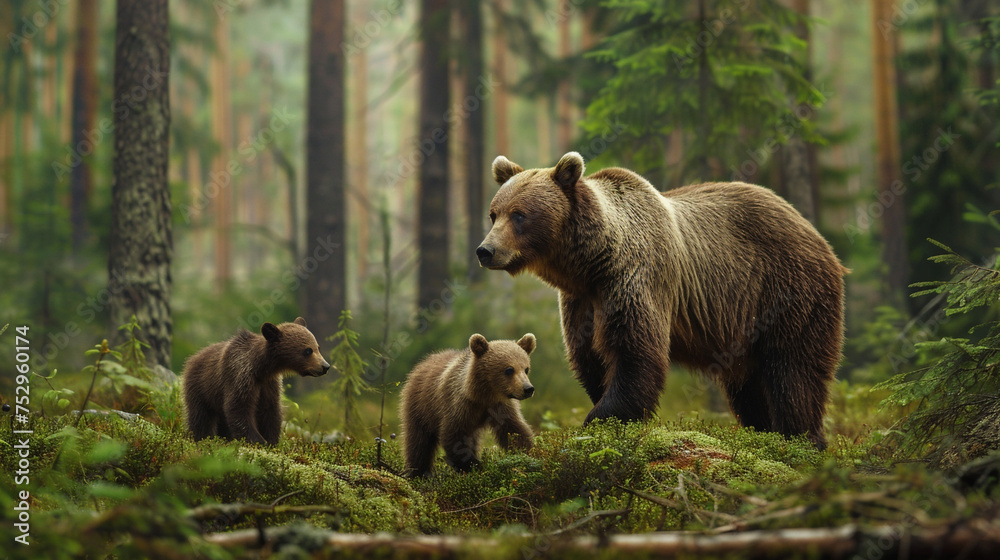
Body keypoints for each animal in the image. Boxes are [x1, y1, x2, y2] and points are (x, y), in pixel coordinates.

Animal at [182, 317, 330, 445]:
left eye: (318, 347)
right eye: (307, 350)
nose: (325, 366)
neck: (261, 369)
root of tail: (193, 357)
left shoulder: (269, 384)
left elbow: (271, 411)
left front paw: (271, 441)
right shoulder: (239, 376)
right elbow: (238, 409)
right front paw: (259, 441)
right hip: (200, 387)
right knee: (201, 417)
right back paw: (201, 437)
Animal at [400, 333, 536, 476]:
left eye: (526, 369)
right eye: (509, 369)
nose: (528, 389)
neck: (484, 396)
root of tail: (421, 364)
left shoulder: (502, 407)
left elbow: (514, 430)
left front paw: (527, 454)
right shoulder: (458, 405)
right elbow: (454, 437)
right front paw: (473, 465)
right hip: (420, 406)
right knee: (418, 441)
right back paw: (416, 472)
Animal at [476, 152, 847, 450]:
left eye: (520, 215)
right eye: (494, 214)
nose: (485, 250)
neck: (589, 264)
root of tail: (812, 230)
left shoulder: (634, 277)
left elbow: (635, 352)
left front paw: (599, 420)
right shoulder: (581, 300)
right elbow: (590, 357)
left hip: (788, 291)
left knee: (794, 371)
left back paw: (802, 439)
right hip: (745, 323)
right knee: (749, 386)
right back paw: (762, 431)